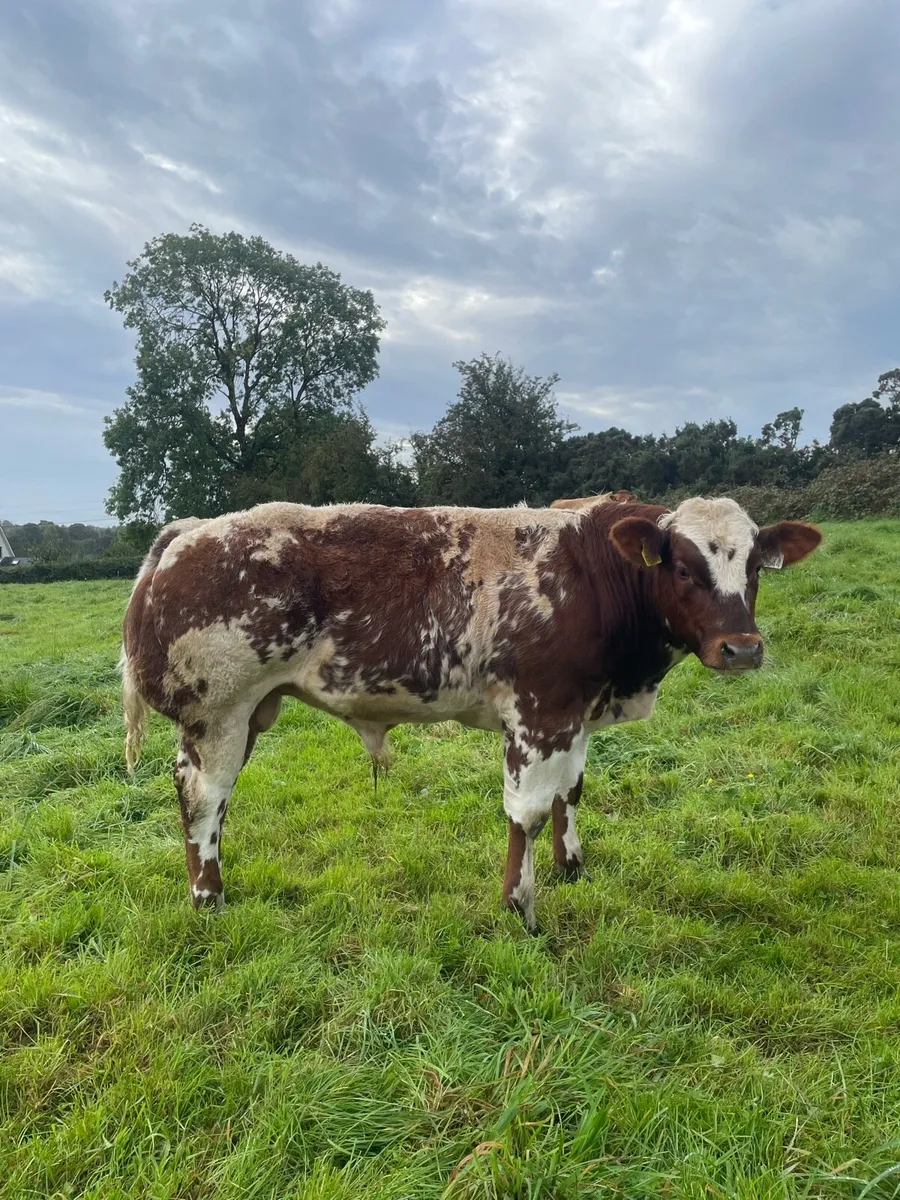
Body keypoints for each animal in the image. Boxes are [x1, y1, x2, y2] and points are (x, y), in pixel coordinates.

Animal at [120, 496, 821, 930]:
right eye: (681, 567)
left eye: (756, 567)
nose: (741, 648)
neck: (592, 578)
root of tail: (189, 530)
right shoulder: (538, 712)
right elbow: (529, 812)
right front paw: (519, 906)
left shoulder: (575, 712)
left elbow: (571, 792)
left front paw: (572, 869)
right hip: (219, 710)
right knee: (203, 797)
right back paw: (208, 897)